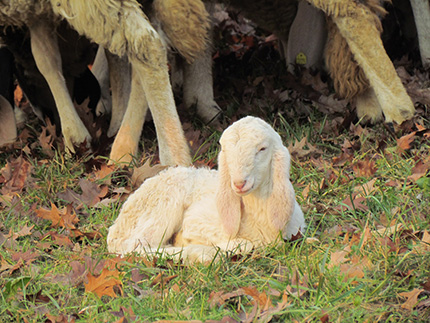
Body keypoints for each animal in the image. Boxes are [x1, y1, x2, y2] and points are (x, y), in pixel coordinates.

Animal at [107, 116, 306, 264]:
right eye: (225, 151)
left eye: (262, 149)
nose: (239, 183)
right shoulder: (195, 221)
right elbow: (246, 244)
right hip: (163, 206)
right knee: (135, 247)